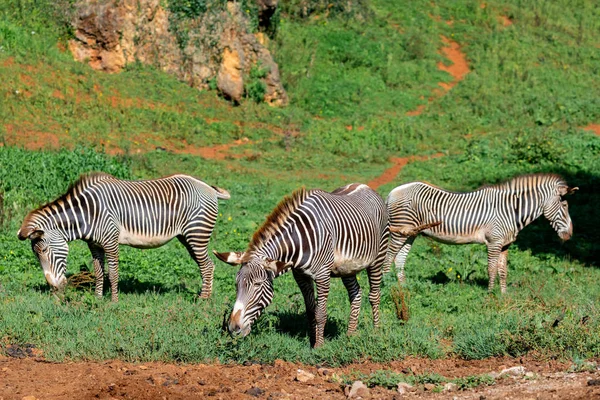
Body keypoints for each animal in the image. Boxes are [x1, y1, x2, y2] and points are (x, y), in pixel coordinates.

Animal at [17, 172, 230, 300]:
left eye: (44, 250)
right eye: (36, 255)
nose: (55, 289)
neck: (87, 214)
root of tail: (209, 188)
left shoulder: (111, 241)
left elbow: (113, 273)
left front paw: (114, 302)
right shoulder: (94, 245)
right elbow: (99, 272)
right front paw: (98, 299)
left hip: (197, 234)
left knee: (207, 266)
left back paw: (203, 301)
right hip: (187, 237)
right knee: (206, 265)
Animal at [216, 184, 390, 346]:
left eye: (257, 285)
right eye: (236, 285)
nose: (233, 328)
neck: (299, 242)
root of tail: (365, 186)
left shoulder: (322, 275)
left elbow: (320, 313)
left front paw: (319, 347)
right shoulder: (301, 276)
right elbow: (310, 311)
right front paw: (312, 341)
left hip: (378, 257)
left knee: (374, 296)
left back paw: (376, 332)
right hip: (347, 268)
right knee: (356, 292)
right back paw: (350, 335)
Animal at [384, 173, 576, 292]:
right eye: (565, 205)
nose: (569, 235)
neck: (511, 210)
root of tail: (392, 192)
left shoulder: (505, 244)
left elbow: (503, 270)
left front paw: (504, 296)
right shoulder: (494, 242)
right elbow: (491, 269)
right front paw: (490, 296)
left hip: (410, 233)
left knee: (399, 259)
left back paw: (404, 288)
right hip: (399, 232)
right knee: (388, 259)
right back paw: (385, 287)